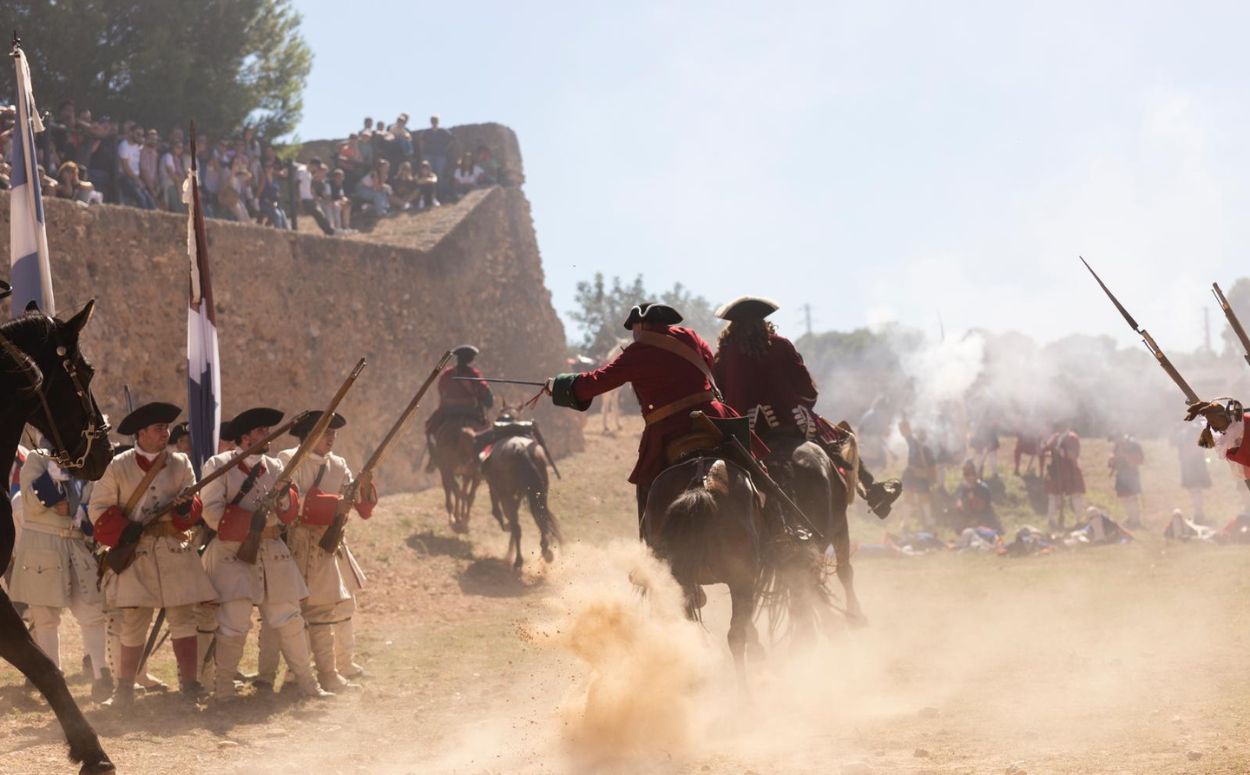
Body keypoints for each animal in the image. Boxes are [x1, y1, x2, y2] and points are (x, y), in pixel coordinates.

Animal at [477, 435, 562, 570]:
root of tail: (520, 448)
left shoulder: (497, 491)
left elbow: (498, 514)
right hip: (539, 492)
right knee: (540, 516)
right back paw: (546, 550)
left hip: (507, 496)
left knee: (517, 527)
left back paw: (518, 560)